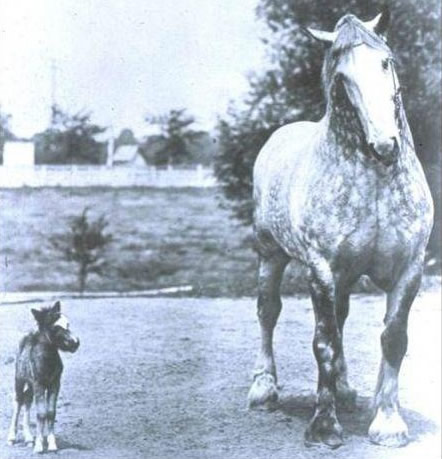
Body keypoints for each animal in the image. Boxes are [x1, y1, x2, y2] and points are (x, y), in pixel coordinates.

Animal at [7, 302, 79, 452]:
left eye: (67, 324)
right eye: (55, 327)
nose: (75, 343)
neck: (48, 361)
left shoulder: (54, 384)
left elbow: (50, 412)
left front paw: (51, 445)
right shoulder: (39, 384)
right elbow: (41, 413)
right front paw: (39, 446)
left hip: (31, 385)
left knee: (27, 399)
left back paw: (29, 438)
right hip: (20, 379)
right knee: (18, 401)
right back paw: (12, 438)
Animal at [247, 9, 434, 450]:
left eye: (386, 62)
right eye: (342, 77)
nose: (385, 145)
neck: (375, 180)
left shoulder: (410, 269)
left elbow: (393, 339)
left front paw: (388, 423)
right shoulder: (321, 271)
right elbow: (324, 343)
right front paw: (324, 426)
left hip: (346, 276)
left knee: (342, 316)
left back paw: (346, 390)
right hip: (270, 254)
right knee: (268, 311)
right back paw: (264, 388)